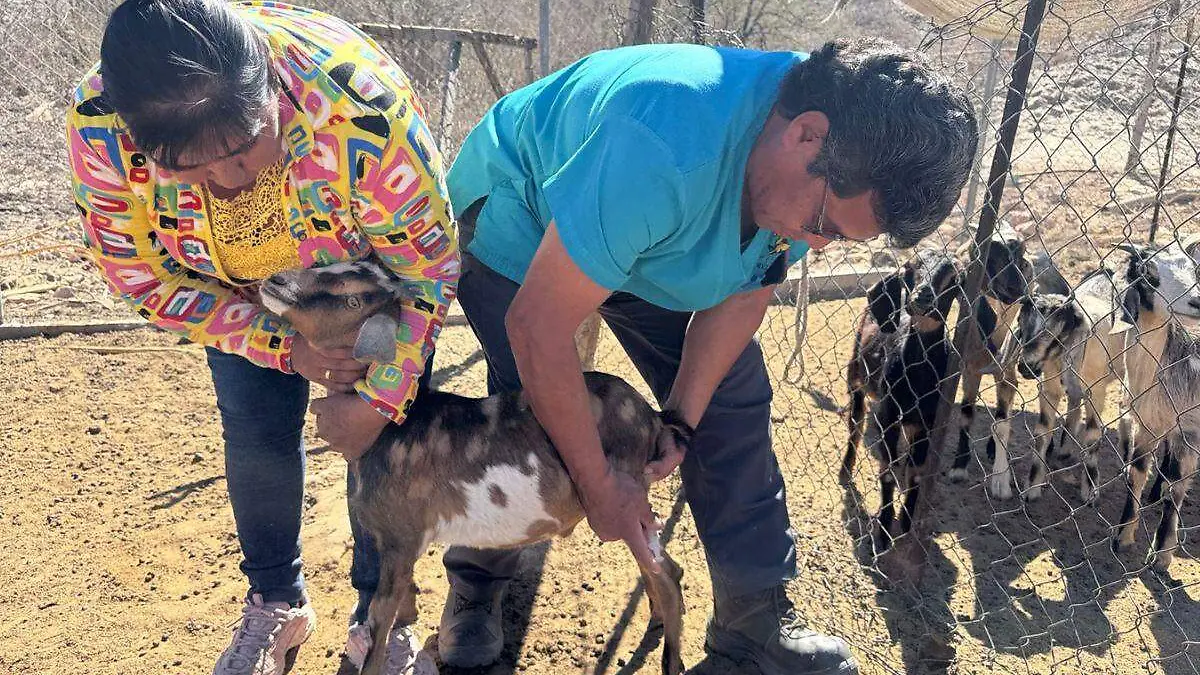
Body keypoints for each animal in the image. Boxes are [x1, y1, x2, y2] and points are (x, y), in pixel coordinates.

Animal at [262, 260, 696, 672]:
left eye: (353, 300)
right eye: (322, 265)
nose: (276, 281)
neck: (392, 427)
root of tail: (652, 418)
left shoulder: (401, 537)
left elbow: (380, 624)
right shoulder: (399, 545)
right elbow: (402, 607)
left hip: (618, 498)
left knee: (667, 575)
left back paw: (671, 659)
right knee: (661, 565)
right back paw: (657, 618)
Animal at [840, 249, 998, 550]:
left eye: (955, 278)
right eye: (910, 270)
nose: (923, 296)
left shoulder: (929, 421)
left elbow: (917, 470)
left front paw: (907, 519)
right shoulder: (888, 415)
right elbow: (887, 469)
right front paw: (883, 530)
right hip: (856, 375)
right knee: (856, 422)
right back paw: (845, 469)